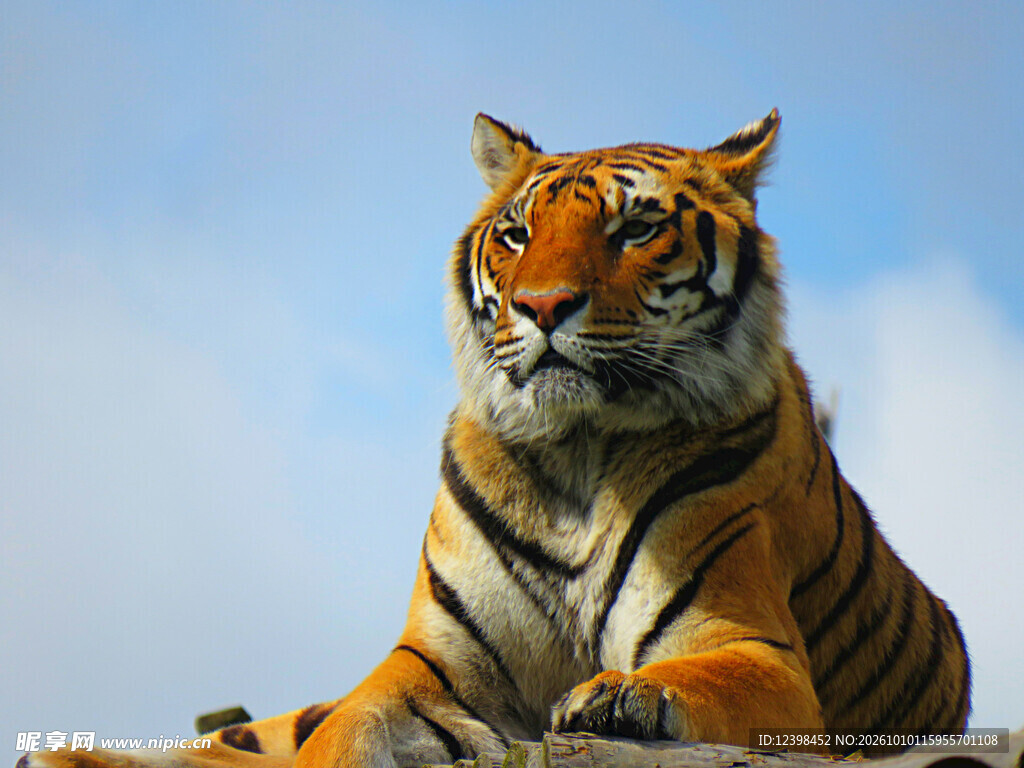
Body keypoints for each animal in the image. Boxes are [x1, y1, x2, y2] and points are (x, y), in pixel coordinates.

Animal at [19, 110, 969, 768]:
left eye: (635, 228)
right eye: (515, 234)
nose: (542, 307)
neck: (579, 453)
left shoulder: (753, 646)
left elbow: (689, 676)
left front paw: (618, 699)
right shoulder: (431, 666)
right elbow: (344, 730)